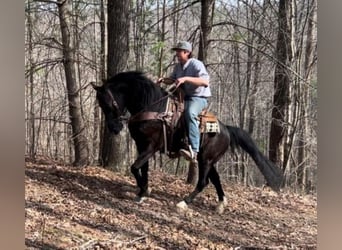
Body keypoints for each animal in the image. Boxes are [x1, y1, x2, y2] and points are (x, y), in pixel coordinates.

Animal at [91, 70, 284, 213]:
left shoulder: (151, 147)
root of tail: (227, 129)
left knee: (203, 182)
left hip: (205, 159)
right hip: (208, 159)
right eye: (101, 104)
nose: (114, 128)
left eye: (109, 103)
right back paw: (221, 204)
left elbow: (134, 167)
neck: (153, 107)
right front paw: (143, 191)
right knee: (215, 179)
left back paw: (184, 202)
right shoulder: (141, 146)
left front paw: (144, 190)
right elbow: (142, 168)